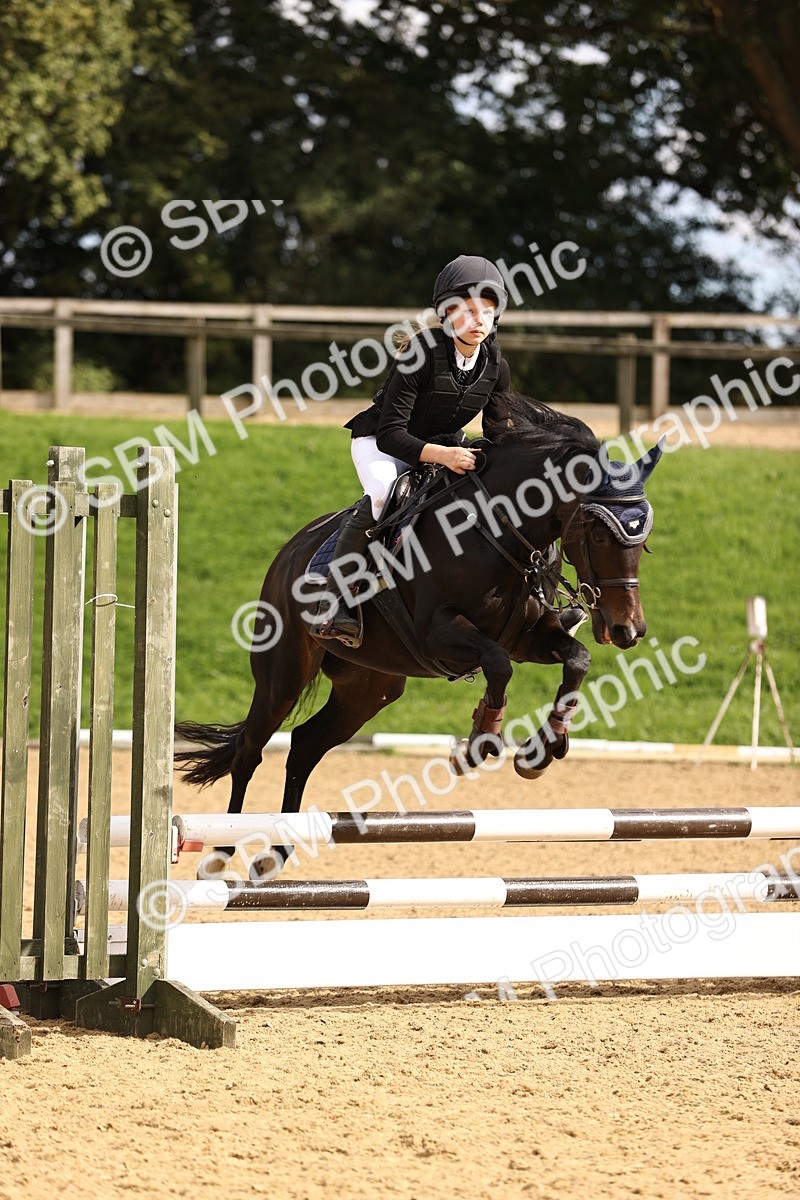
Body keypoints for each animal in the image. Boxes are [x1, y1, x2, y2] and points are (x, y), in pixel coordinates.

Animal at [175, 392, 663, 871]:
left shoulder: (528, 638)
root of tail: (289, 553)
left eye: (643, 542)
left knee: (304, 746)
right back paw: (220, 855)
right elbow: (497, 665)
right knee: (250, 751)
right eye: (598, 534)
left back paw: (276, 853)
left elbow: (575, 660)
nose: (627, 629)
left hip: (369, 688)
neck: (496, 531)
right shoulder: (439, 633)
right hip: (283, 675)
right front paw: (477, 744)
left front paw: (541, 751)